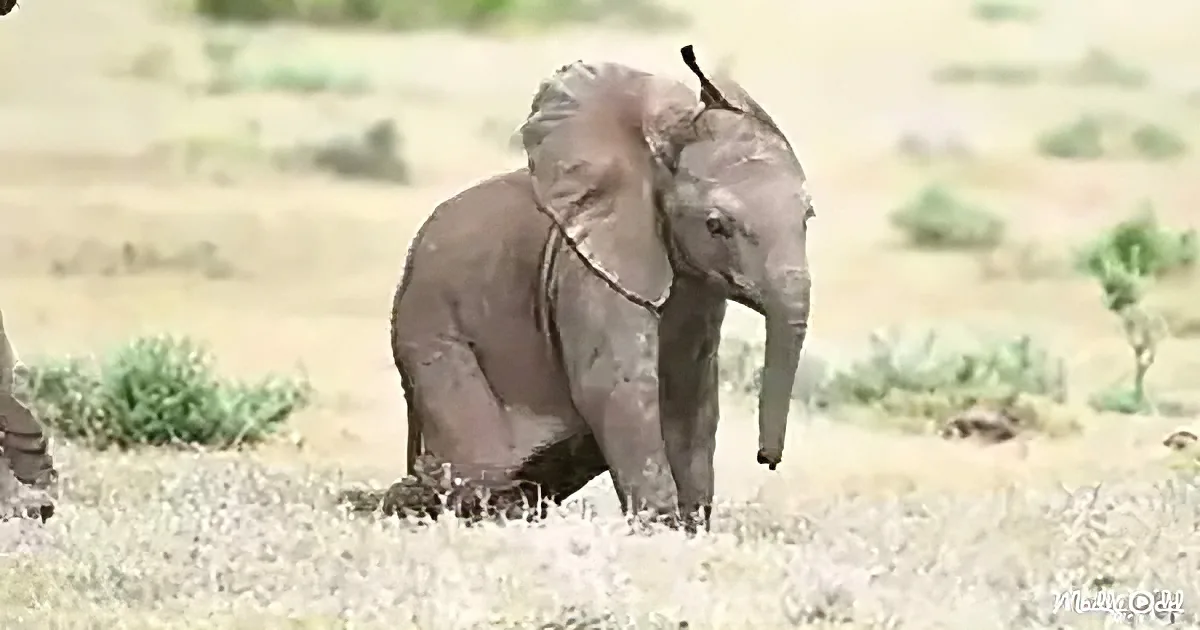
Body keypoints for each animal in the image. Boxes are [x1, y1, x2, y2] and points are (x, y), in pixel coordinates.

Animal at [389, 45, 814, 529]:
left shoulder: (698, 289)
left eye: (809, 216)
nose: (768, 460)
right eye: (715, 225)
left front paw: (691, 527)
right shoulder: (586, 269)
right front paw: (658, 527)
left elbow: (690, 397)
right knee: (479, 467)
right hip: (430, 327)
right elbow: (618, 387)